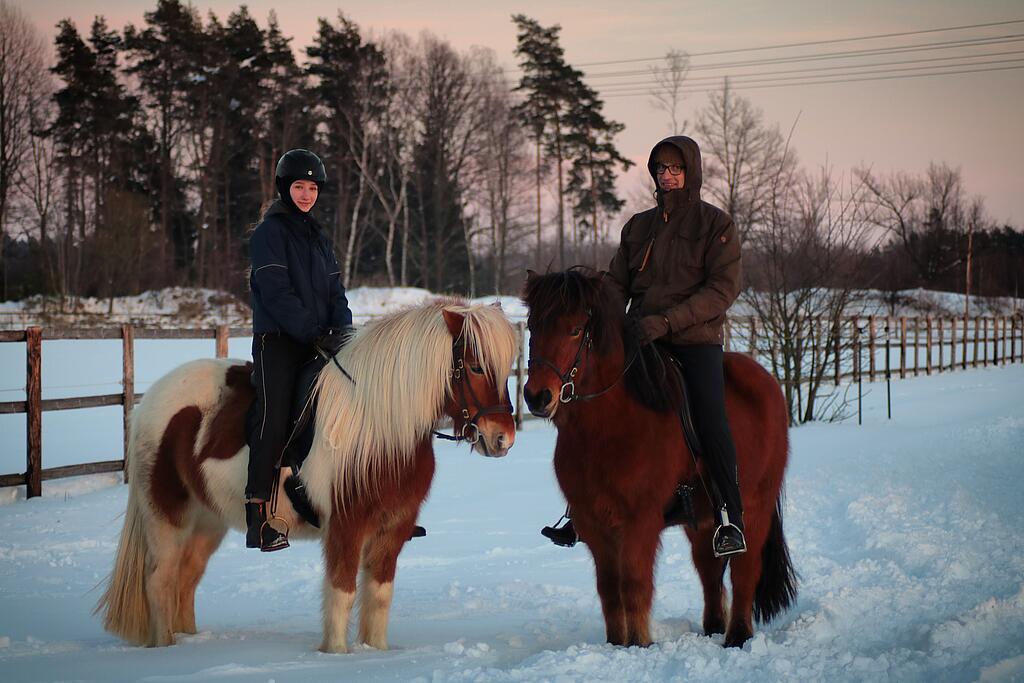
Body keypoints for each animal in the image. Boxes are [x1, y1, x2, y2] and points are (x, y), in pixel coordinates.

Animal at [94, 299, 520, 651]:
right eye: (476, 366)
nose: (502, 438)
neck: (378, 425)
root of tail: (152, 398)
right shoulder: (346, 528)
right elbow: (342, 594)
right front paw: (336, 655)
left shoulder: (392, 530)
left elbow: (379, 598)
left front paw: (375, 653)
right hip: (167, 517)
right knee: (160, 581)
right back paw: (166, 648)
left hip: (207, 521)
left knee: (185, 580)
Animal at [524, 270, 794, 651]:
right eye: (533, 325)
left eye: (575, 329)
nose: (536, 396)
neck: (606, 428)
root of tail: (767, 380)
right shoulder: (594, 522)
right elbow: (609, 591)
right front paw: (616, 645)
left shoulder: (640, 521)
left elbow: (634, 586)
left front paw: (639, 645)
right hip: (704, 519)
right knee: (708, 570)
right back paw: (713, 627)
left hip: (754, 506)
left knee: (745, 570)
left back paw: (737, 637)